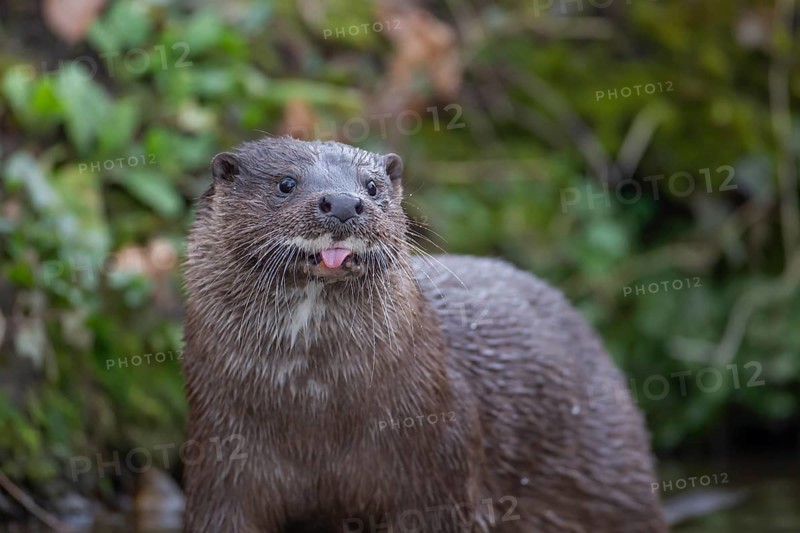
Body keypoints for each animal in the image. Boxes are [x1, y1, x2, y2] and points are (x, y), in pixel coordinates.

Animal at [182, 136, 667, 532]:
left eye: (372, 187)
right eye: (285, 182)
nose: (343, 203)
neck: (312, 413)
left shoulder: (439, 466)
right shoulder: (221, 464)